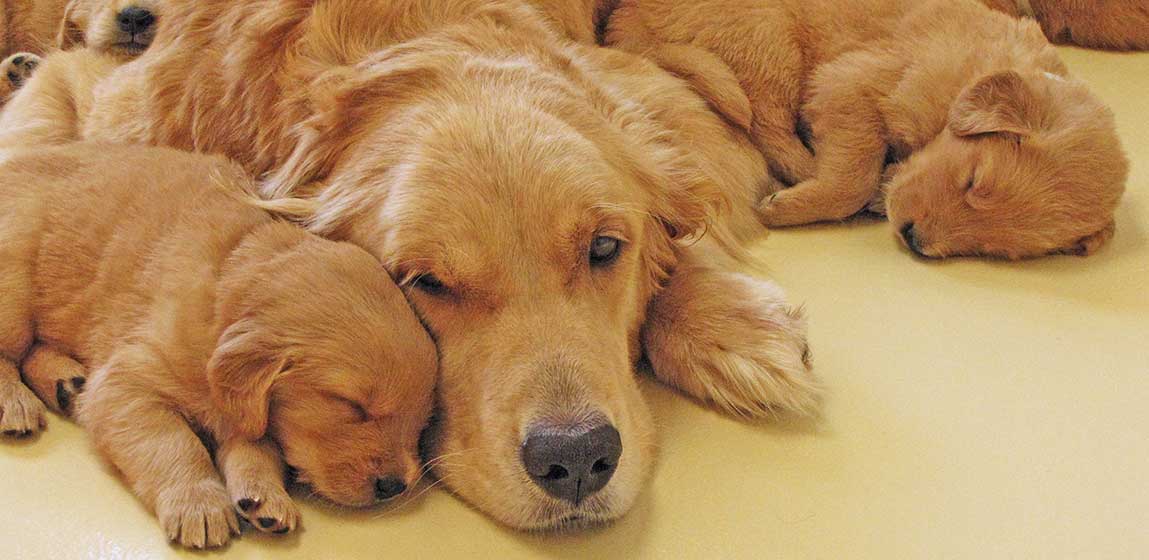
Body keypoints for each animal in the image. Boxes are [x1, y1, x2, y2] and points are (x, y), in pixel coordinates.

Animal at [0, 143, 438, 547]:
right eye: (353, 406)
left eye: (421, 421)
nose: (395, 486)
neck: (230, 270)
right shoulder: (128, 383)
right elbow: (173, 444)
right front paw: (199, 504)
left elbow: (256, 446)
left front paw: (263, 495)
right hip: (15, 277)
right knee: (9, 351)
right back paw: (15, 403)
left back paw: (66, 382)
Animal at [611, 0, 1130, 261]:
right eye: (973, 181)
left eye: (999, 248)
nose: (914, 239)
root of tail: (625, 25)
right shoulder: (852, 82)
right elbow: (853, 177)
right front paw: (801, 201)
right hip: (767, 38)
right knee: (765, 120)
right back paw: (801, 173)